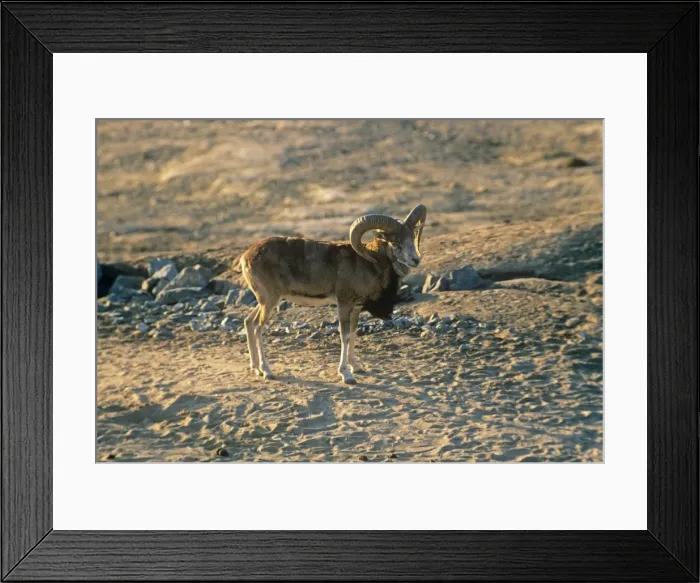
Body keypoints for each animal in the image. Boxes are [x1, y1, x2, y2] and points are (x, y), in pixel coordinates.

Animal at [235, 204, 427, 384]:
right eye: (394, 242)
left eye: (411, 237)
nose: (415, 260)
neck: (367, 262)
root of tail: (246, 257)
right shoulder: (343, 305)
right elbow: (345, 336)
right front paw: (347, 375)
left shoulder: (356, 308)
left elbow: (353, 333)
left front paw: (357, 368)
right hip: (270, 301)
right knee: (258, 327)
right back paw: (267, 372)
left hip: (266, 301)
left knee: (248, 322)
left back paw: (255, 368)